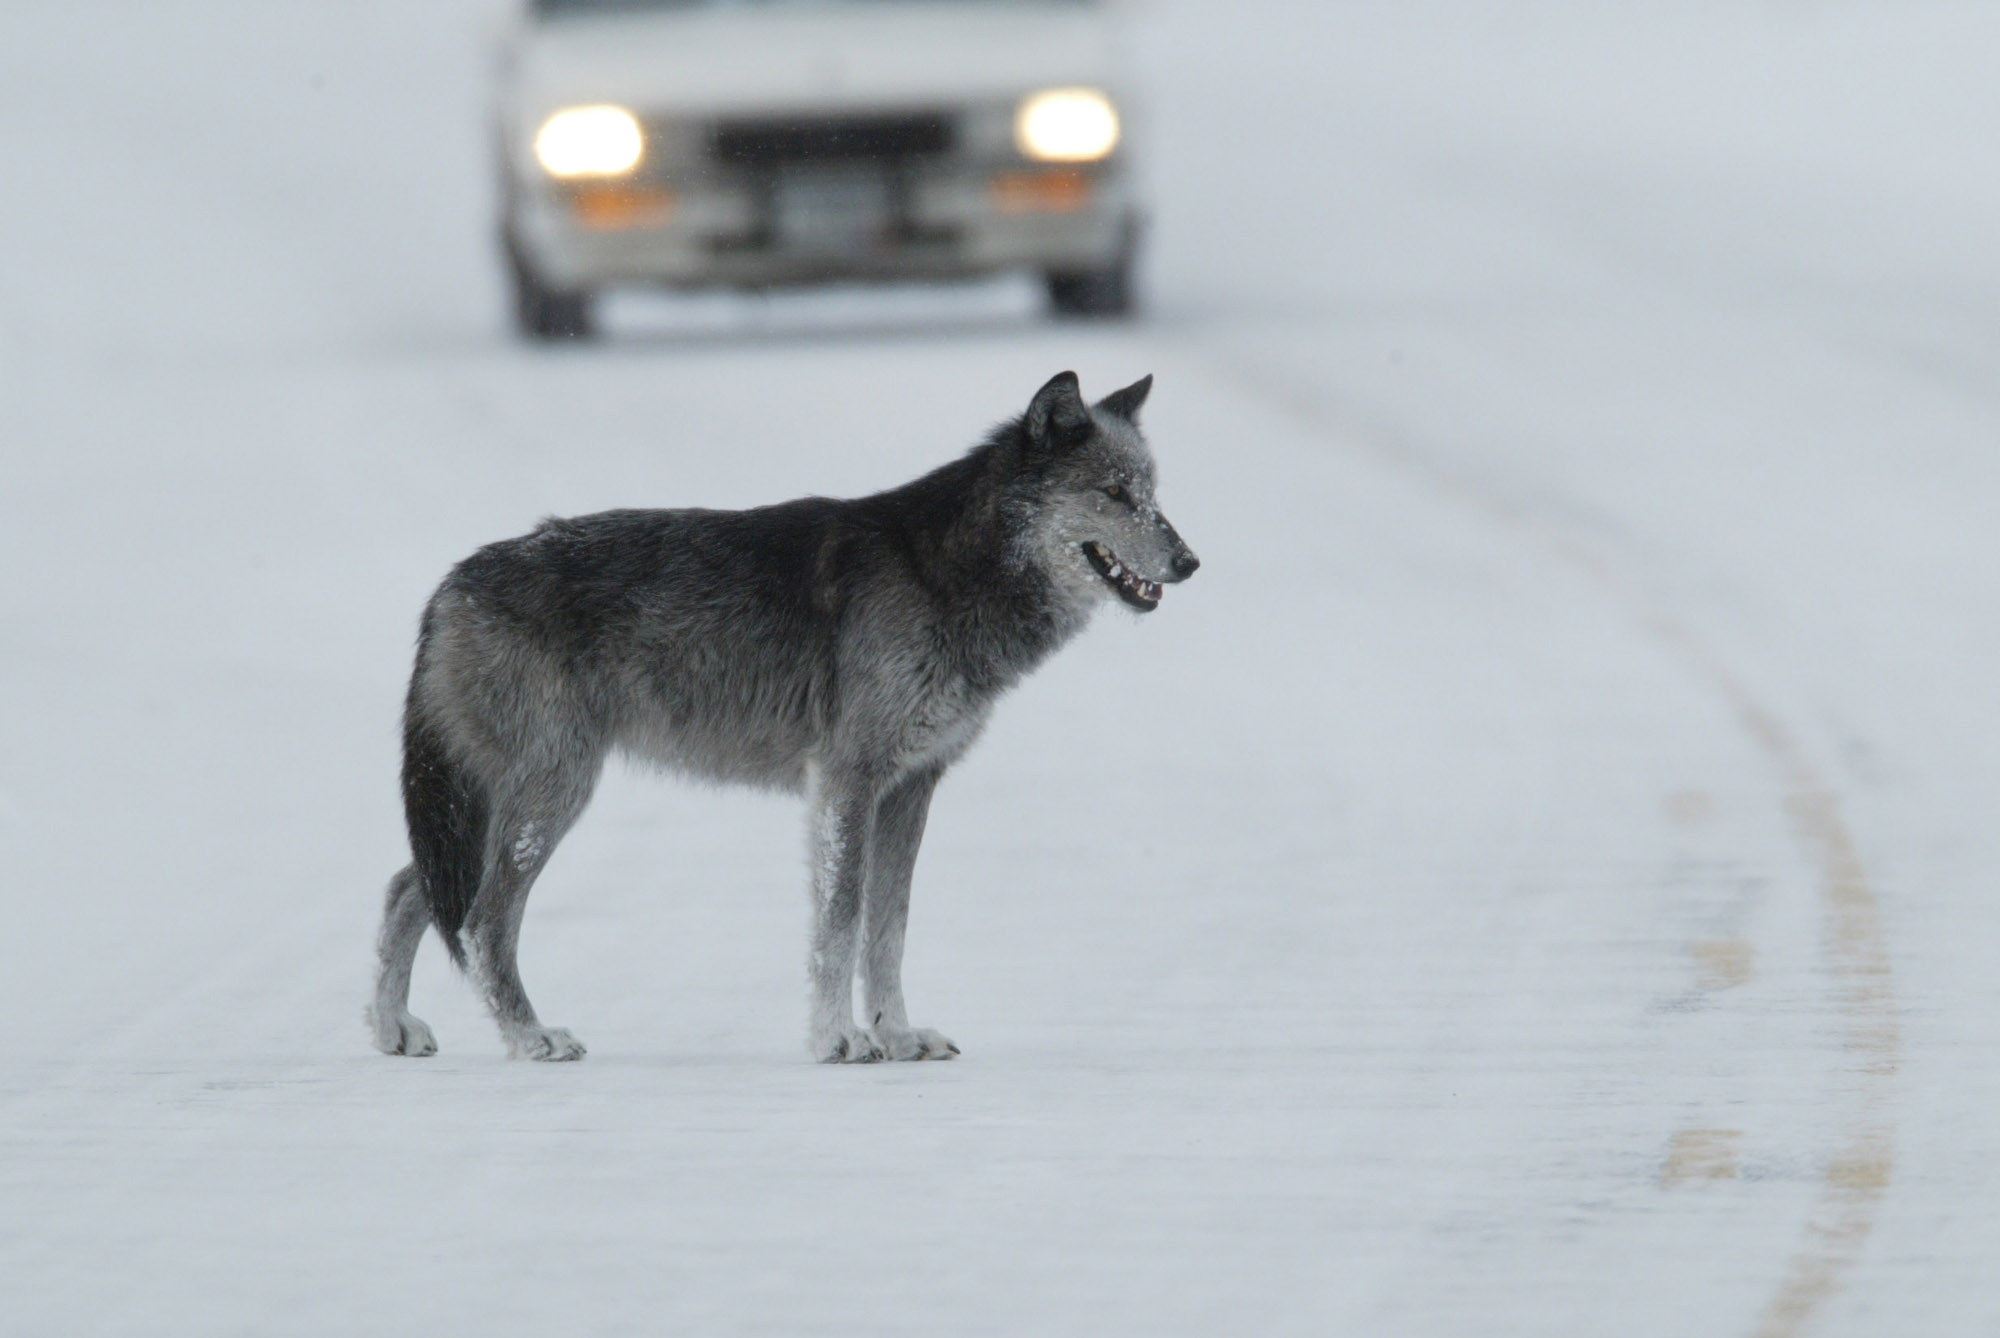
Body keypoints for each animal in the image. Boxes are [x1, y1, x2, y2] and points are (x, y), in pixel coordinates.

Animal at [367, 371, 1198, 1063]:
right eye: (1112, 494)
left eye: (1153, 492)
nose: (1190, 562)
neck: (943, 573)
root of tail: (451, 583)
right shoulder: (848, 781)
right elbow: (841, 923)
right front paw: (839, 1040)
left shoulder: (911, 788)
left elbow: (888, 931)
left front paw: (898, 1036)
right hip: (552, 794)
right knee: (480, 919)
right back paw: (530, 1037)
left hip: (499, 802)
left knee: (409, 887)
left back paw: (392, 1029)